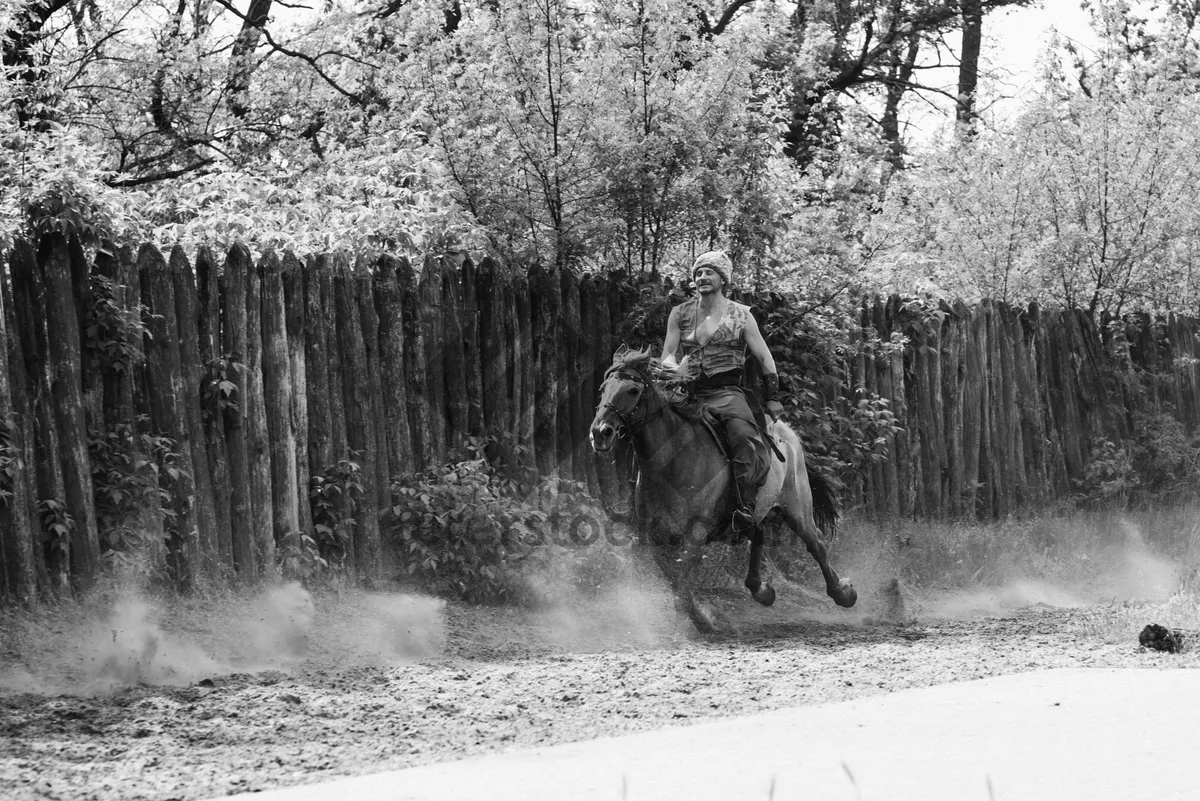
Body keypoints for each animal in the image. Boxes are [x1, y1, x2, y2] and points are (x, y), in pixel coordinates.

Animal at [588, 347, 854, 628]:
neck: (672, 461)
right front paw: (704, 620)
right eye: (603, 388)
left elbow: (681, 586)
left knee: (816, 543)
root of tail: (787, 431)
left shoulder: (695, 534)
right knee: (759, 534)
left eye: (632, 390)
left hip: (797, 507)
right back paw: (762, 591)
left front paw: (702, 624)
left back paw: (844, 593)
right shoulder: (656, 539)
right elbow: (675, 582)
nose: (600, 432)